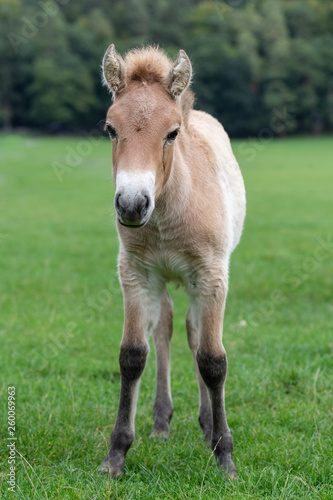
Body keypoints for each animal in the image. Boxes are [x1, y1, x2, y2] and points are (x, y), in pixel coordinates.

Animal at [98, 45, 244, 478]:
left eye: (172, 132)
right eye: (110, 129)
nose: (132, 204)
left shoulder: (212, 275)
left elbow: (213, 360)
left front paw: (224, 455)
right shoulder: (135, 274)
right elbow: (132, 355)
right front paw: (116, 454)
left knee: (196, 334)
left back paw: (207, 424)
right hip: (161, 280)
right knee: (163, 327)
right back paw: (162, 421)